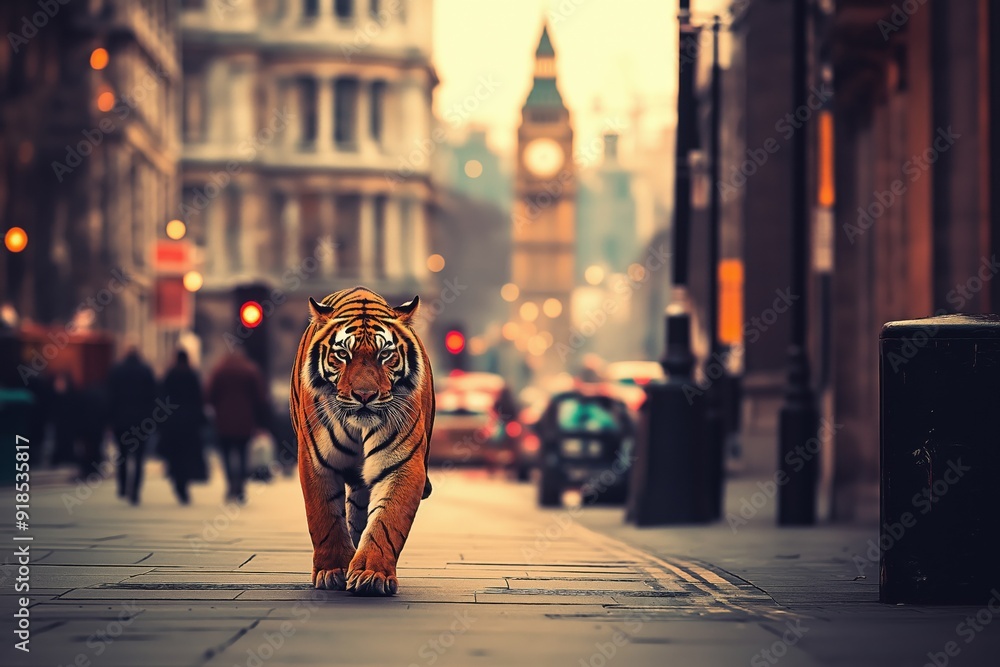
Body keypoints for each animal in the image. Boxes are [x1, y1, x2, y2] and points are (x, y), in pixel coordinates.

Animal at [289, 286, 434, 596]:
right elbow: (324, 517)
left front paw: (371, 574)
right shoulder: (316, 462)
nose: (365, 395)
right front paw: (333, 570)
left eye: (385, 354)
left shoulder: (401, 464)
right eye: (342, 354)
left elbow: (386, 521)